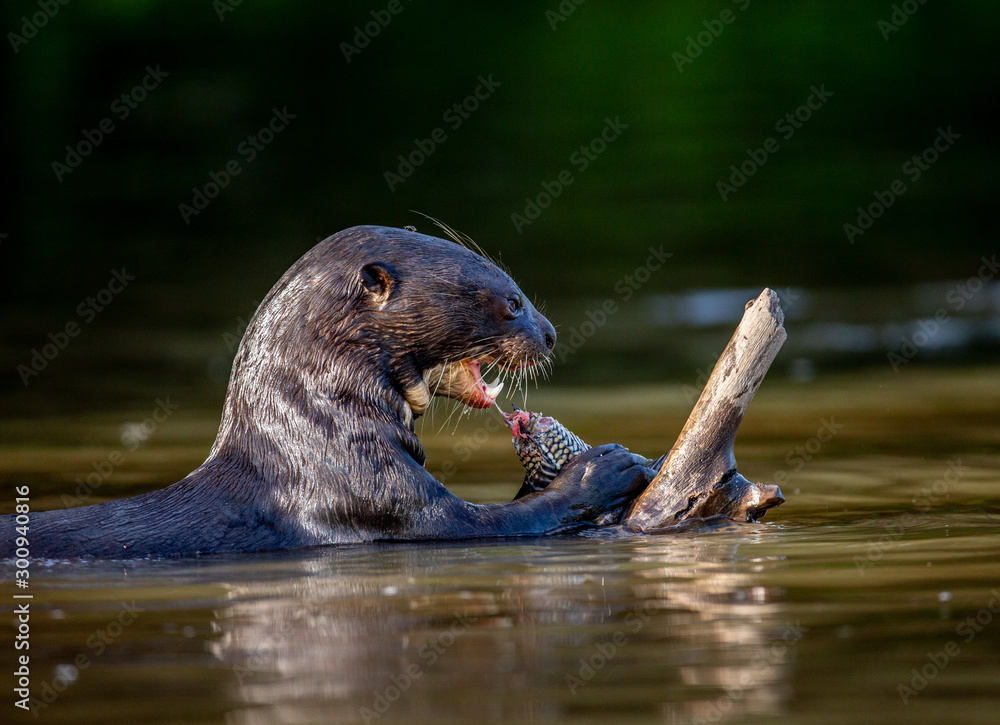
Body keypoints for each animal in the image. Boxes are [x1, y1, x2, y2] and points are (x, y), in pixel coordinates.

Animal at [1, 226, 652, 558]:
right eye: (513, 300)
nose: (551, 332)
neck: (317, 433)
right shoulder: (369, 494)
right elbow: (491, 521)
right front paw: (609, 466)